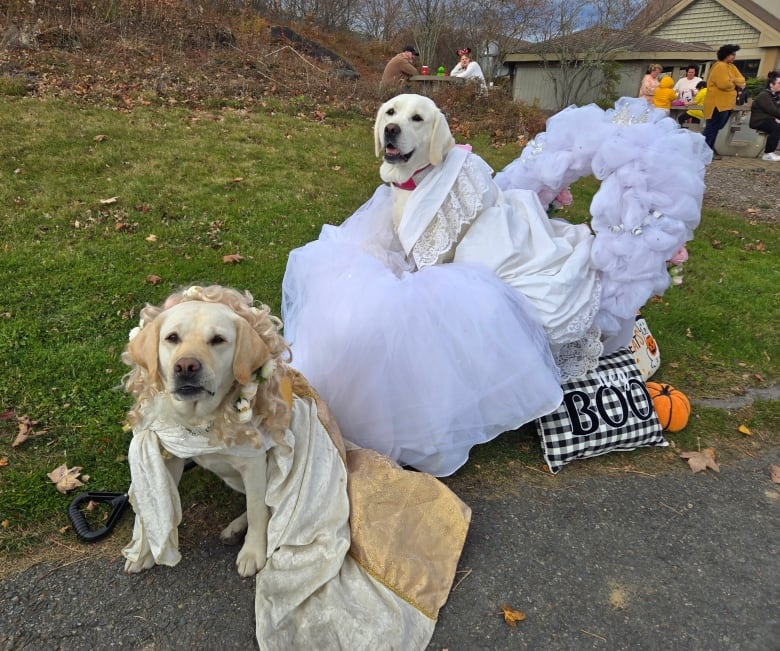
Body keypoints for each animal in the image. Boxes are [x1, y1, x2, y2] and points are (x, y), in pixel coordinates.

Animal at [122, 284, 292, 576]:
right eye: (172, 337)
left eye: (218, 340)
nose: (186, 366)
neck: (202, 421)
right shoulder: (171, 459)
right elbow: (158, 505)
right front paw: (145, 552)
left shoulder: (254, 465)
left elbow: (258, 511)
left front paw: (253, 552)